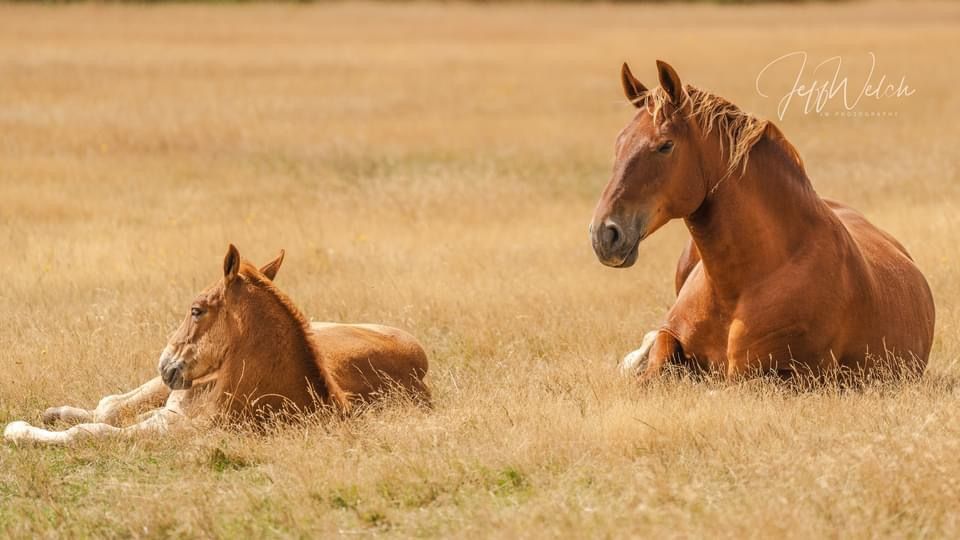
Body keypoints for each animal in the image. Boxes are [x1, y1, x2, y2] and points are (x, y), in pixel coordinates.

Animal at [5, 244, 430, 444]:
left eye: (196, 310)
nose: (165, 362)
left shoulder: (169, 429)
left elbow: (91, 432)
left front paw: (17, 431)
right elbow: (106, 417)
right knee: (112, 403)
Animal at [589, 60, 935, 382]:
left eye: (665, 145)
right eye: (619, 142)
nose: (603, 235)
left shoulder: (782, 375)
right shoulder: (671, 337)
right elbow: (654, 361)